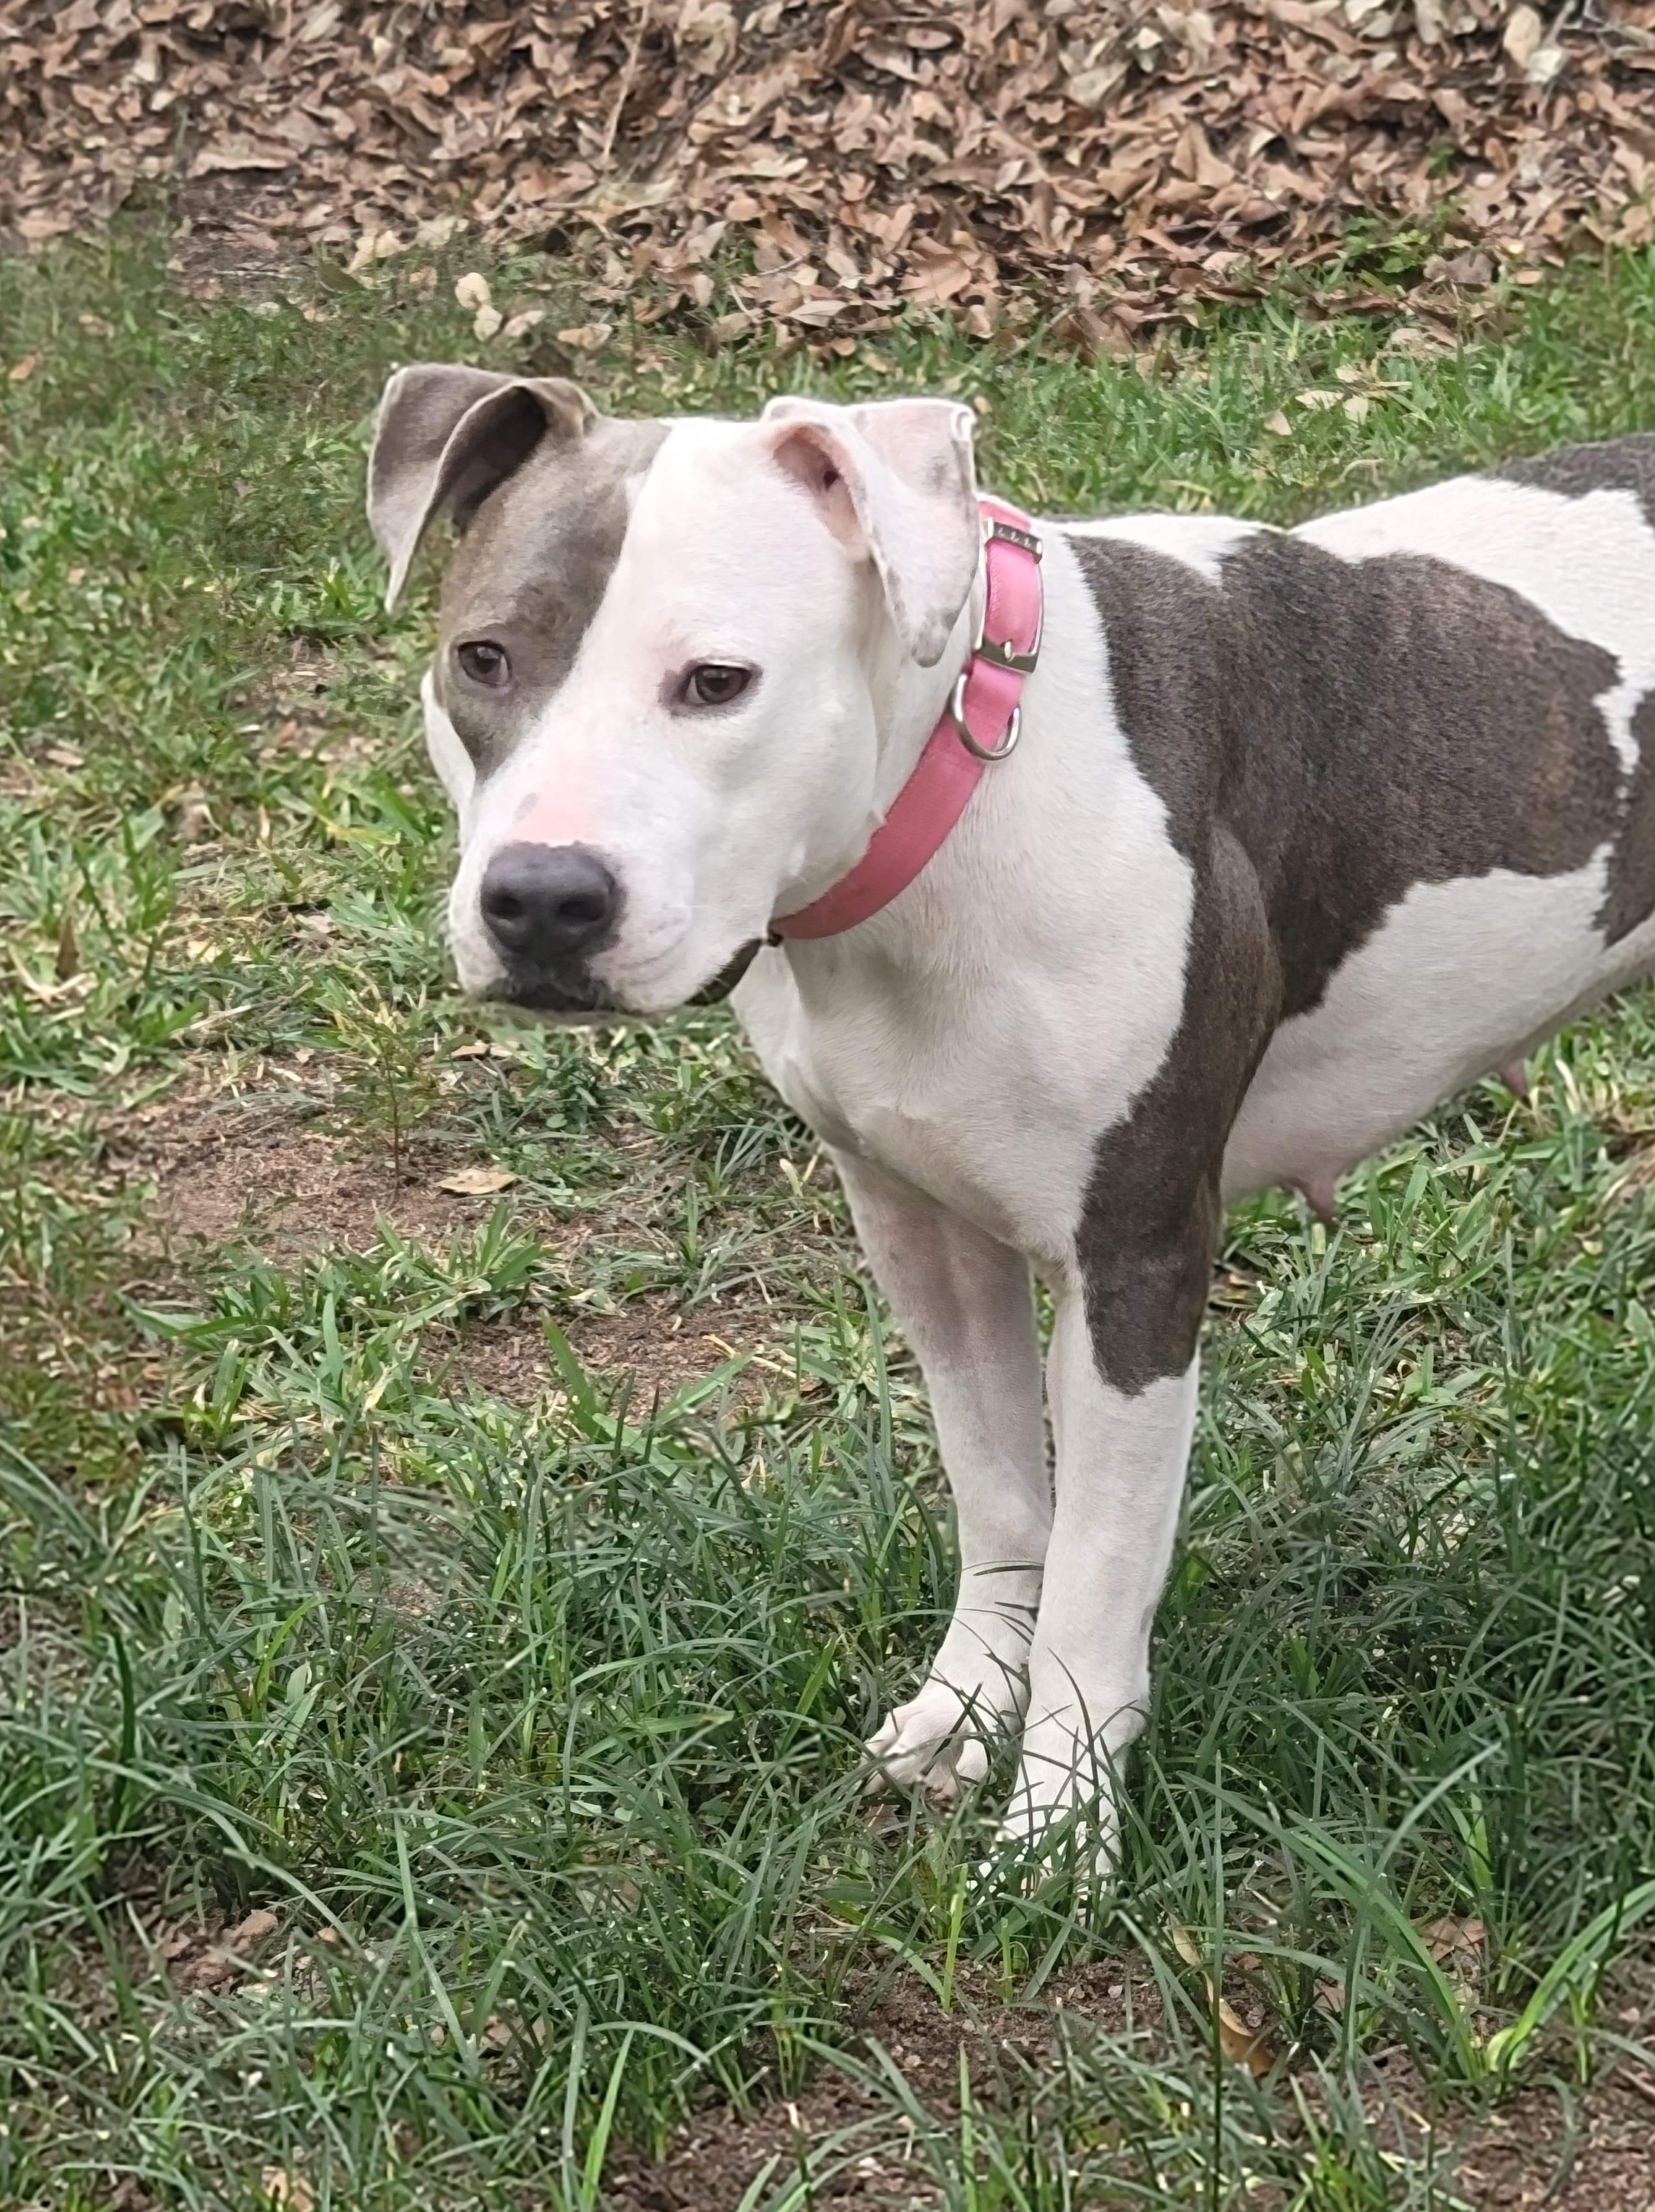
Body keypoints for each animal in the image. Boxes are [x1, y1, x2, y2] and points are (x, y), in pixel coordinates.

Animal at [369, 372, 1655, 1858]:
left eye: (717, 683)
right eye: (482, 659)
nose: (540, 898)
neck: (960, 791)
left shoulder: (1137, 1260)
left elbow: (1098, 1573)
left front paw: (1057, 1829)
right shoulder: (921, 1235)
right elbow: (998, 1495)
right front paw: (966, 1708)